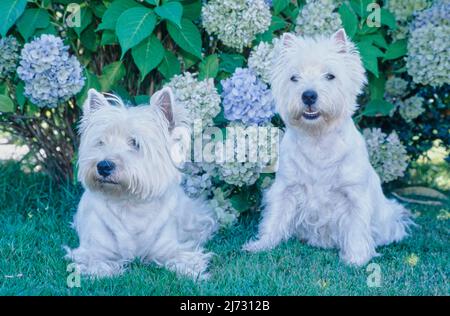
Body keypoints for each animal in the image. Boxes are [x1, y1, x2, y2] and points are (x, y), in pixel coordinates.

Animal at [64, 87, 216, 278]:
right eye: (101, 142)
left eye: (135, 143)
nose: (103, 166)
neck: (130, 203)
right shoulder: (95, 248)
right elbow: (96, 261)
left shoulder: (168, 246)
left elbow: (182, 257)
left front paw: (193, 271)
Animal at [244, 30, 414, 266]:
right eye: (294, 77)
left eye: (330, 76)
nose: (308, 95)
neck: (318, 139)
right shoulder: (286, 187)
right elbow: (275, 216)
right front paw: (262, 244)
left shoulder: (353, 195)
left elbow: (356, 228)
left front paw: (356, 258)